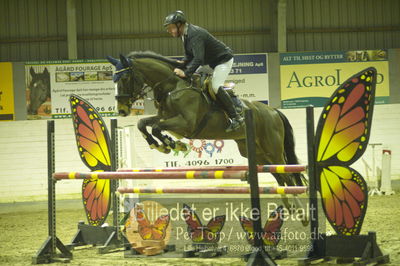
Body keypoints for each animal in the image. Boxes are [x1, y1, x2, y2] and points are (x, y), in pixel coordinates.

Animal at [106, 52, 306, 189]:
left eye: (125, 78)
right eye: (113, 80)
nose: (122, 110)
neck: (172, 87)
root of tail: (274, 111)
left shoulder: (186, 124)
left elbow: (156, 127)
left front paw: (172, 144)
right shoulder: (166, 118)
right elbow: (143, 124)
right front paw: (162, 145)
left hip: (272, 149)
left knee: (288, 175)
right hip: (255, 152)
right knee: (279, 177)